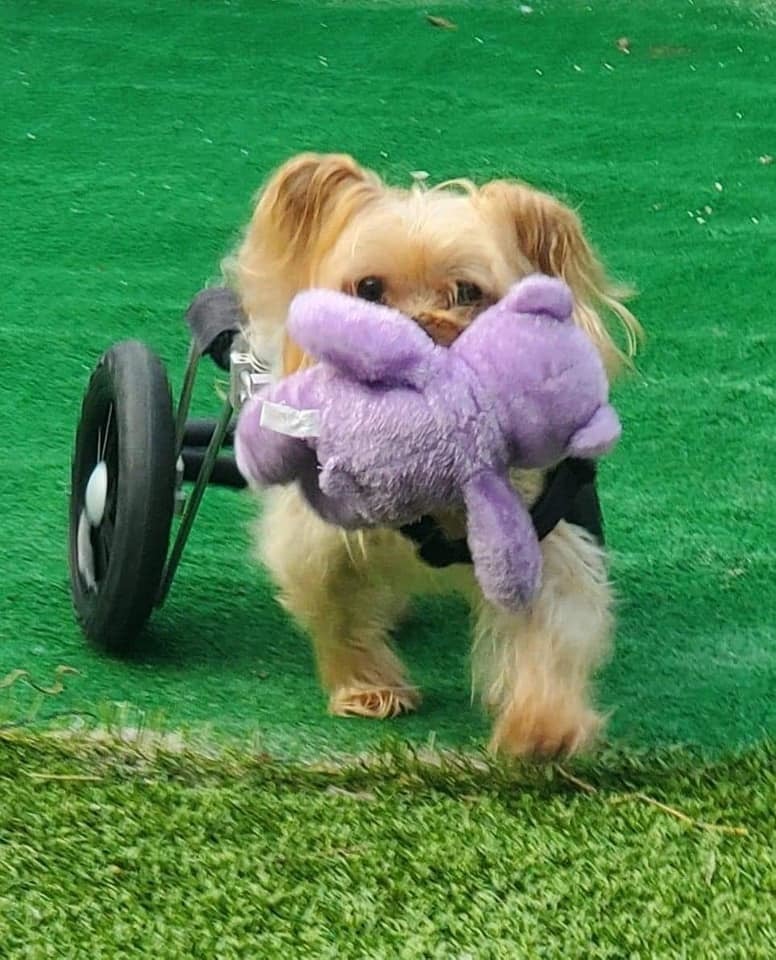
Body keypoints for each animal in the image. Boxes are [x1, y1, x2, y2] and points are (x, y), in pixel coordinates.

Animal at [221, 152, 640, 756]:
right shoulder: (318, 544)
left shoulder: (544, 541)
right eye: (368, 287)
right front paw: (367, 687)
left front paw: (544, 726)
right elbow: (337, 614)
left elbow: (547, 633)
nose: (417, 326)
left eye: (466, 291)